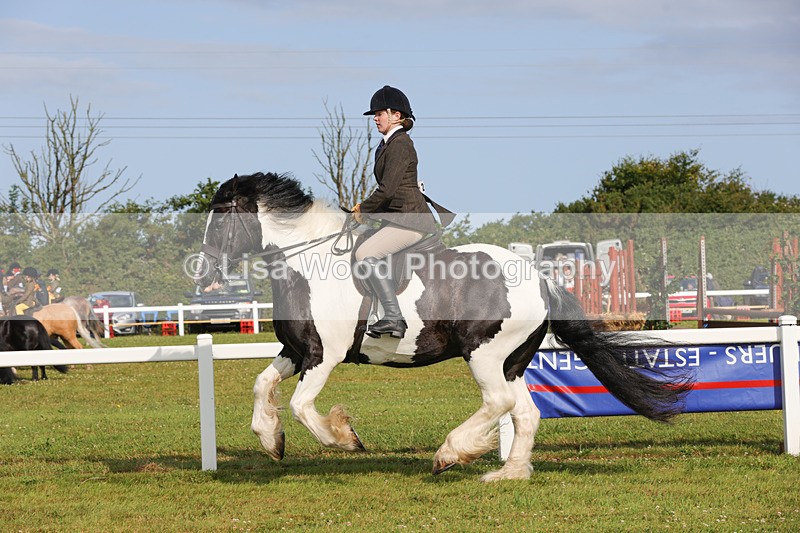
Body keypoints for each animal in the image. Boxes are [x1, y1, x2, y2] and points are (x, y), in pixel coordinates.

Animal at [193, 172, 693, 481]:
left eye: (219, 219)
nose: (202, 273)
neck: (306, 263)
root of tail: (541, 278)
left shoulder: (324, 355)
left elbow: (300, 406)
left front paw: (345, 438)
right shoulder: (296, 351)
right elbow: (262, 385)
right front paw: (271, 440)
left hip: (484, 352)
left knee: (498, 402)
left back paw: (450, 454)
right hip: (512, 360)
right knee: (524, 413)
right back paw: (507, 474)